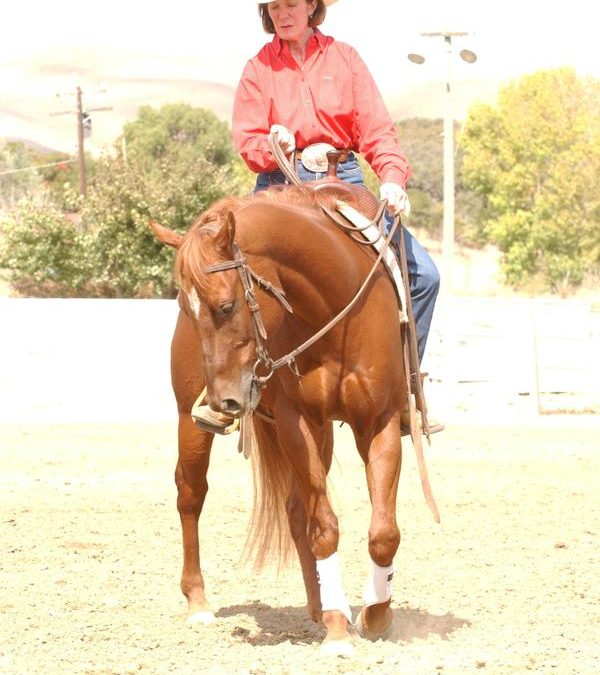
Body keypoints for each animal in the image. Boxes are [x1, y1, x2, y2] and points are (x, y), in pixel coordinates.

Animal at [150, 182, 438, 656]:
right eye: (187, 309)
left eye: (226, 306)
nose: (226, 400)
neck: (332, 311)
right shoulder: (295, 422)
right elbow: (324, 525)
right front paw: (340, 630)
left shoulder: (377, 424)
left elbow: (382, 532)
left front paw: (376, 614)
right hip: (190, 420)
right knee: (191, 494)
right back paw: (199, 602)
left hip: (323, 434)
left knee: (294, 510)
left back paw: (319, 605)